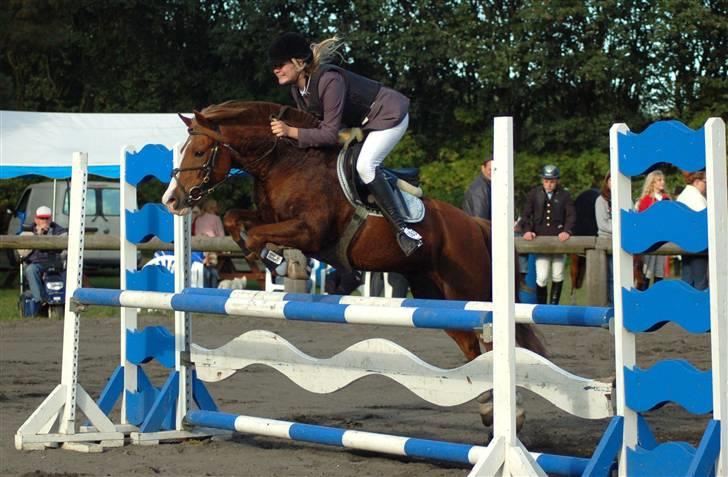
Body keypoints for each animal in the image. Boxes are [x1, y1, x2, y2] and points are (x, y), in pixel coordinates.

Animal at [162, 100, 546, 421]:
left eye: (199, 151)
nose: (171, 201)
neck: (285, 163)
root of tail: (477, 224)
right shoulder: (269, 217)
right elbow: (233, 219)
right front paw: (268, 259)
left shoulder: (309, 232)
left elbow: (258, 237)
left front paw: (275, 262)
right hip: (434, 293)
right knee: (471, 346)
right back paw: (488, 406)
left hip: (470, 289)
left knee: (493, 343)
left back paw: (512, 411)